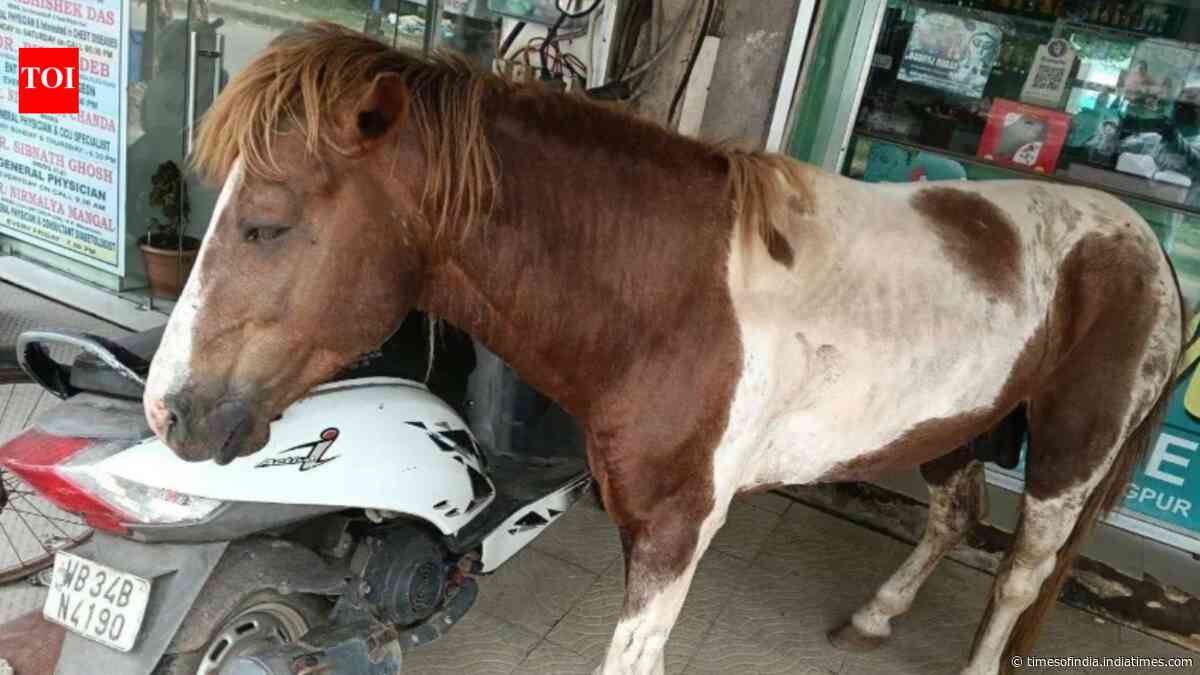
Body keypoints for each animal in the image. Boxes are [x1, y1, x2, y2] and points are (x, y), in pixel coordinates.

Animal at [142, 22, 1184, 675]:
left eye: (268, 225)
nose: (170, 409)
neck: (670, 297)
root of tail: (1144, 242)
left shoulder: (678, 530)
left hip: (1068, 454)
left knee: (1020, 571)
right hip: (954, 428)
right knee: (954, 518)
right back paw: (875, 616)